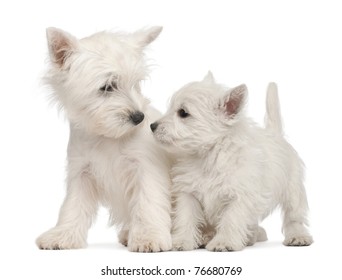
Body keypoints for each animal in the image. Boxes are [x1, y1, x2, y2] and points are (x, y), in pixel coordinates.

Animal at [36, 27, 172, 253]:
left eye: (135, 84)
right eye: (108, 87)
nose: (139, 117)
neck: (108, 136)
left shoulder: (146, 169)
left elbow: (148, 203)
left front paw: (149, 237)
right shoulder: (82, 171)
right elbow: (73, 205)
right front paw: (63, 235)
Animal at [151, 72, 314, 252]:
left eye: (183, 113)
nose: (152, 125)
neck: (208, 156)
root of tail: (275, 134)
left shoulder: (239, 195)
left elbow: (231, 219)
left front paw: (224, 242)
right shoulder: (188, 192)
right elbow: (186, 217)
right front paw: (182, 241)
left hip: (293, 189)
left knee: (294, 216)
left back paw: (297, 236)